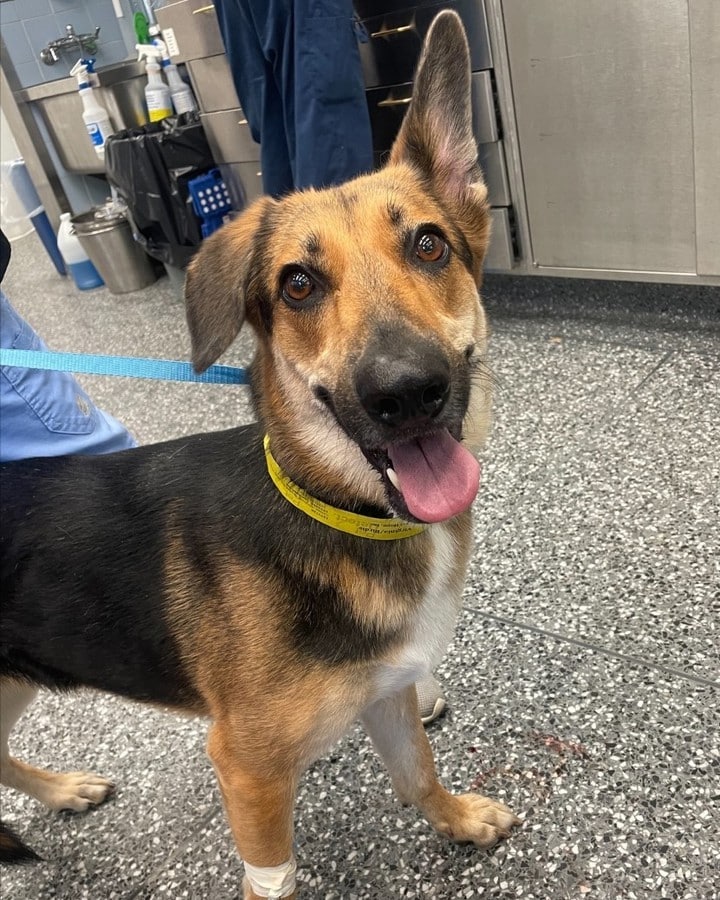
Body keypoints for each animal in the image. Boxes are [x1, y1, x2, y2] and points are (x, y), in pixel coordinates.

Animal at [0, 14, 516, 900]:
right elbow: (273, 874)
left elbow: (417, 774)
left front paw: (455, 819)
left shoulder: (384, 692)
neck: (335, 511)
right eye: (298, 285)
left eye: (429, 246)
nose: (407, 392)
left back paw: (62, 790)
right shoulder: (247, 768)